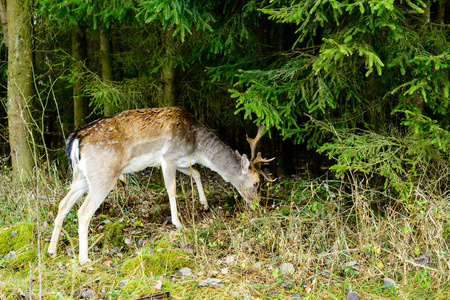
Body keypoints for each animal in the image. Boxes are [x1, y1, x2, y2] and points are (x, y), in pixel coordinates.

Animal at [49, 106, 274, 264]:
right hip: (103, 175)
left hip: (81, 177)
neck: (196, 146)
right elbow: (171, 188)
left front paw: (204, 204)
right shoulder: (168, 157)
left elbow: (197, 172)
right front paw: (178, 223)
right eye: (256, 183)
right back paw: (84, 258)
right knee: (83, 212)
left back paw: (51, 250)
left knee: (63, 204)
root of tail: (76, 139)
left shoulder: (182, 161)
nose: (258, 206)